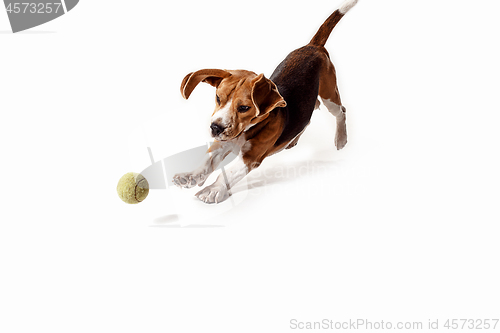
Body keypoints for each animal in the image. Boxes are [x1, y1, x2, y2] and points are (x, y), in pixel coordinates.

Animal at [174, 0, 358, 204]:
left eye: (244, 108)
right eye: (218, 98)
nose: (215, 128)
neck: (245, 131)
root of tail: (313, 46)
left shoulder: (251, 156)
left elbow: (228, 173)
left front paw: (213, 190)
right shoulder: (221, 143)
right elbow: (207, 161)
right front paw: (190, 176)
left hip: (329, 94)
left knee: (341, 111)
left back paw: (341, 139)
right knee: (310, 112)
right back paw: (294, 139)